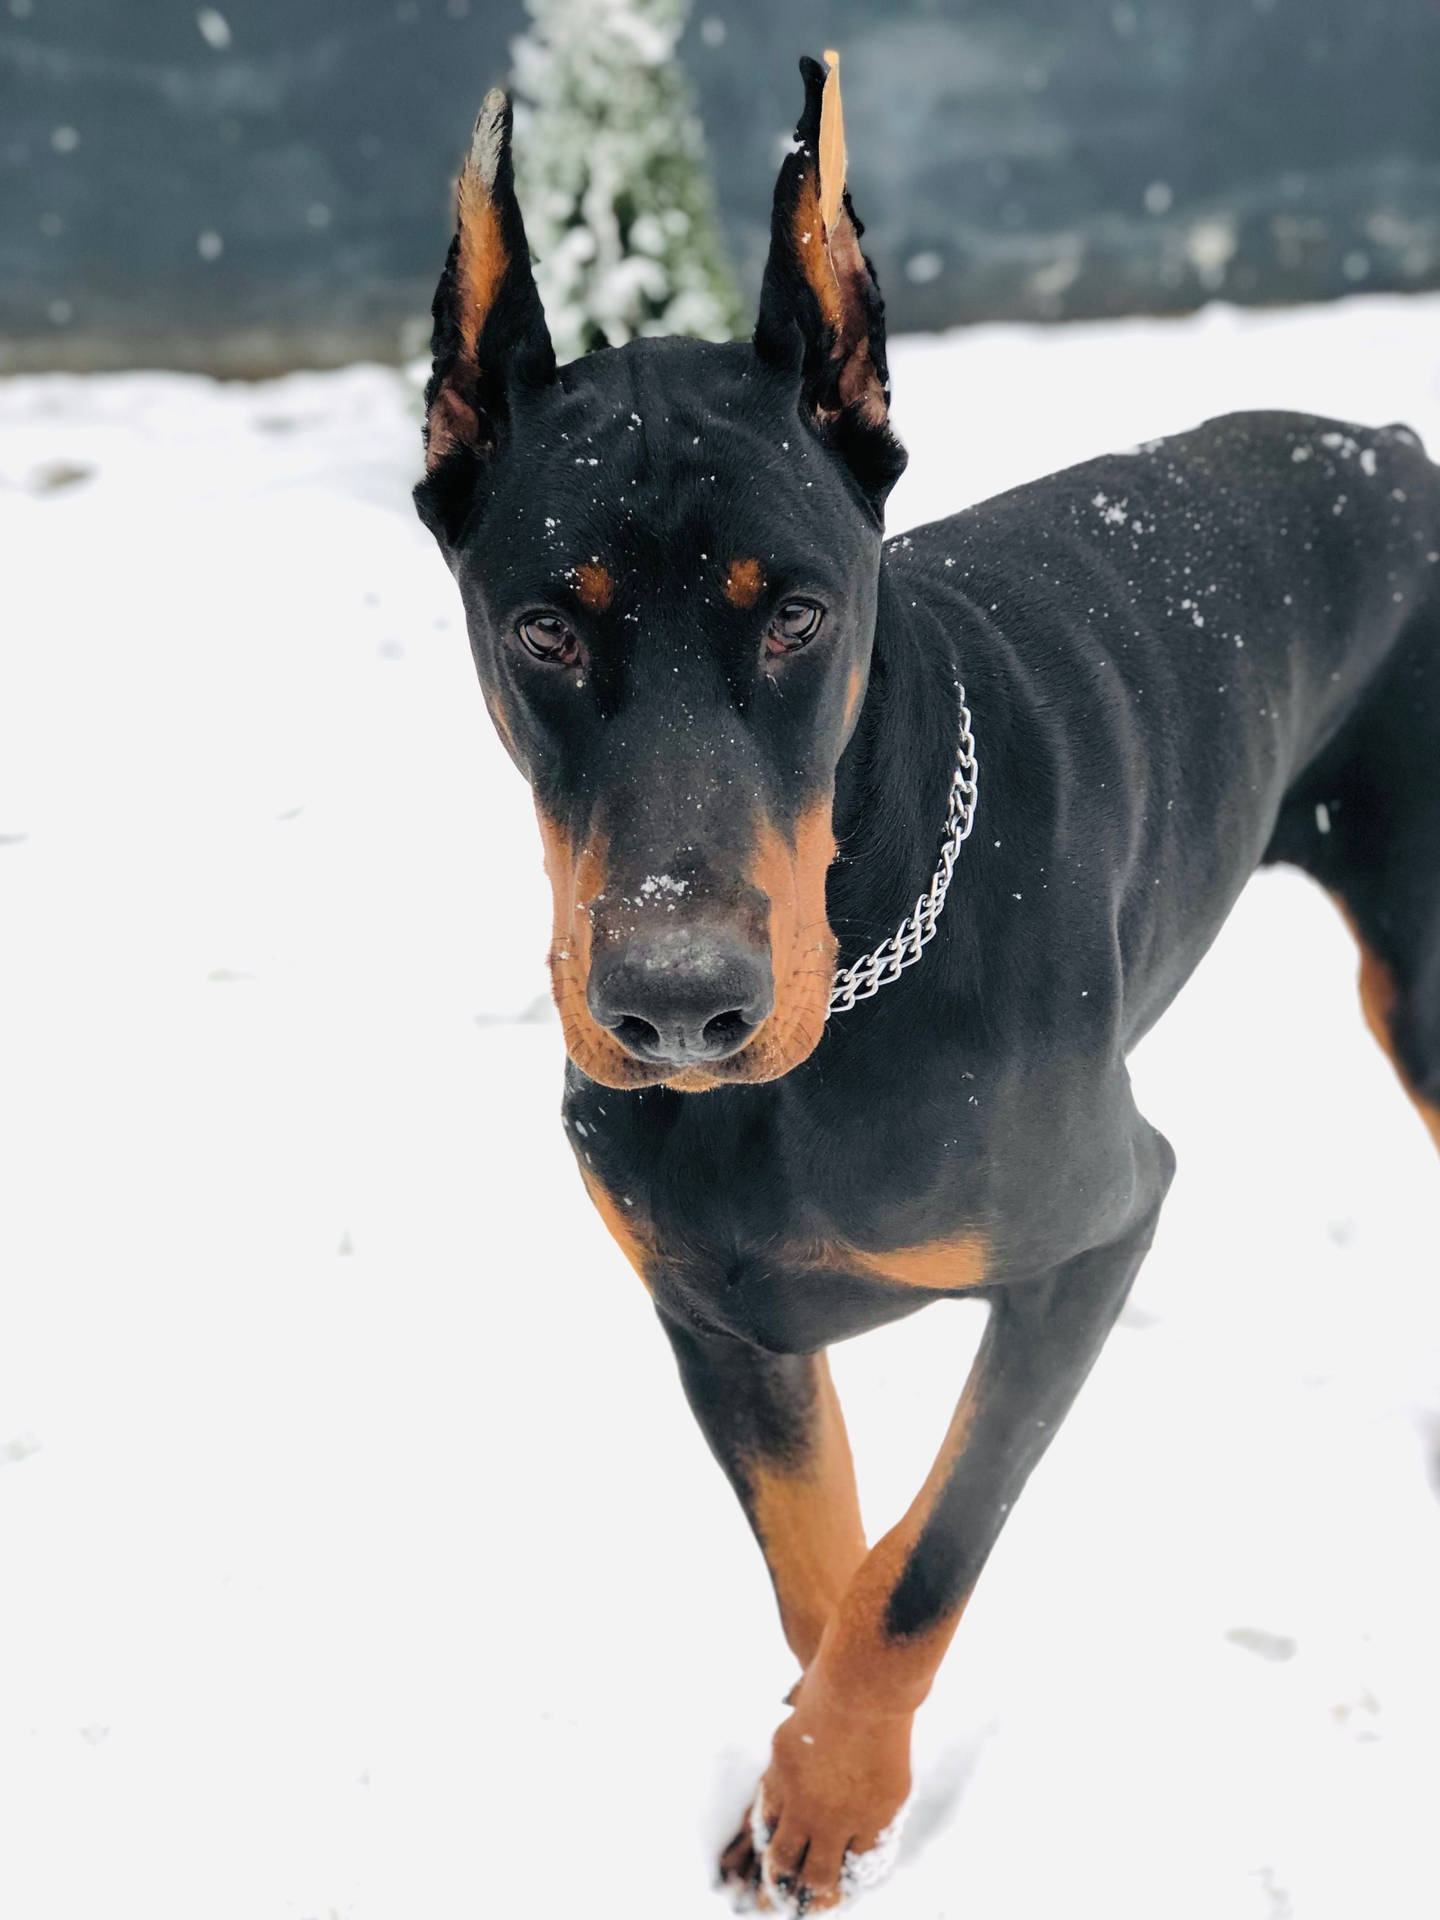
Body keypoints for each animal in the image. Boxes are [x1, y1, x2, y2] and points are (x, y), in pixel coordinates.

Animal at [416, 52, 1440, 1912]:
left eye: (800, 617)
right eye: (544, 627)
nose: (679, 1004)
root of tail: (1394, 448)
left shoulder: (1102, 1229)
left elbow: (923, 1560)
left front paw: (835, 1787)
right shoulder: (714, 1309)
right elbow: (819, 1563)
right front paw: (810, 1777)